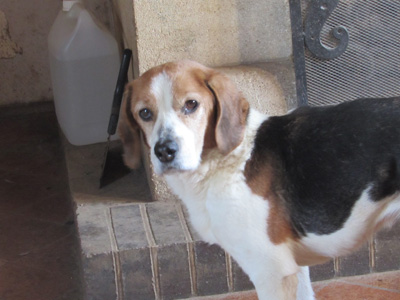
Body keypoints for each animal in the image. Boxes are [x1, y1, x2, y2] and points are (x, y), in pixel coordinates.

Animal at [119, 59, 400, 298]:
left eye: (191, 104)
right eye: (145, 113)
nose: (164, 151)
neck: (226, 161)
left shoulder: (272, 272)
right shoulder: (294, 269)